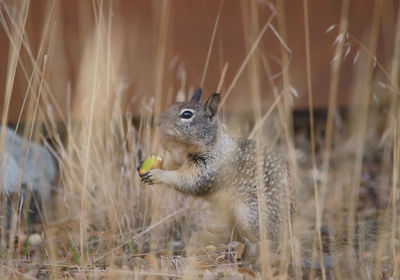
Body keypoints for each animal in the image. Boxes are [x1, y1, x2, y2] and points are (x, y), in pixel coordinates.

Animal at [139, 88, 296, 250]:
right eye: (171, 105)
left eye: (187, 114)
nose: (157, 122)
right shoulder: (180, 161)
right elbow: (172, 165)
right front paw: (145, 163)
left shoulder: (207, 168)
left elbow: (188, 182)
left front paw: (158, 175)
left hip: (249, 216)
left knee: (272, 241)